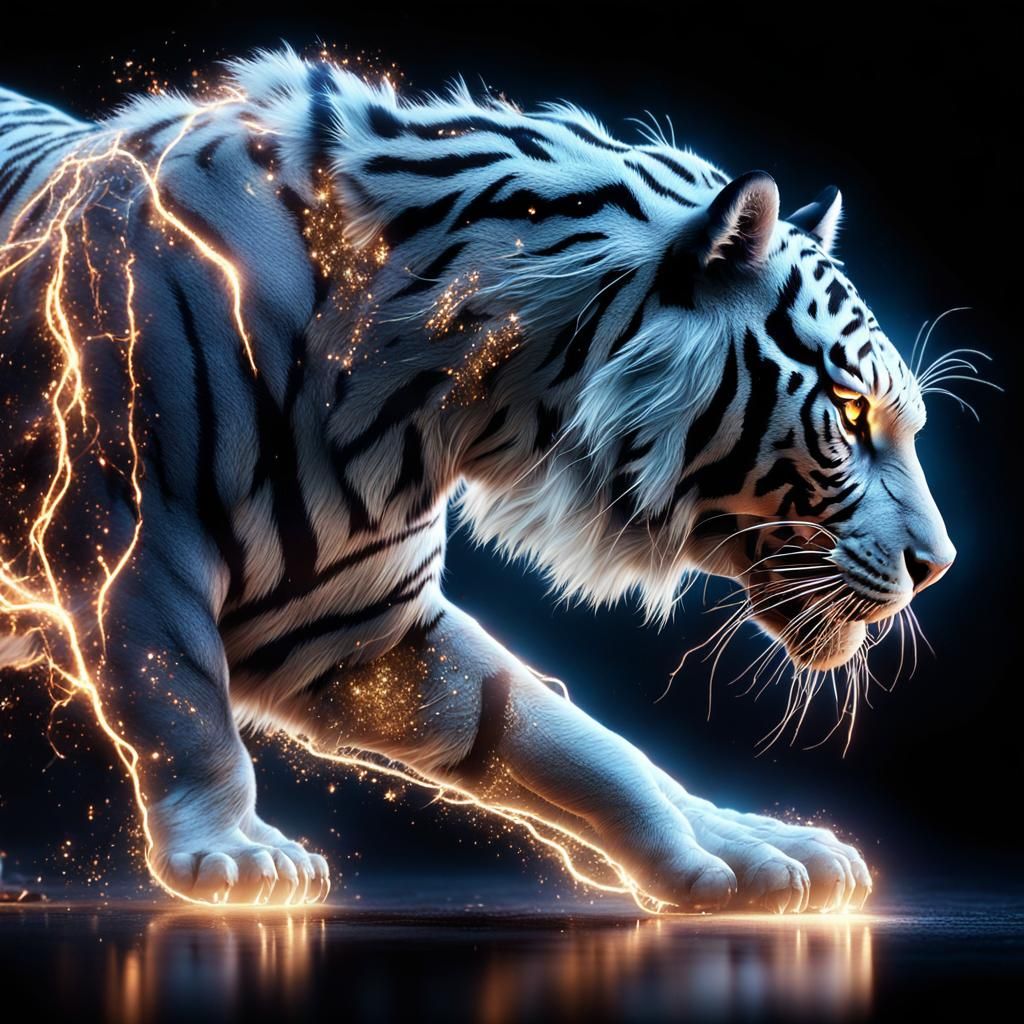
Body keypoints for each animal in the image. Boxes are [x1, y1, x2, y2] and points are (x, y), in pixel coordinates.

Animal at [0, 45, 958, 913]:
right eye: (852, 411)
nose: (937, 567)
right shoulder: (136, 540)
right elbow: (184, 703)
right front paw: (236, 855)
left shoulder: (357, 628)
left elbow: (565, 736)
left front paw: (735, 850)